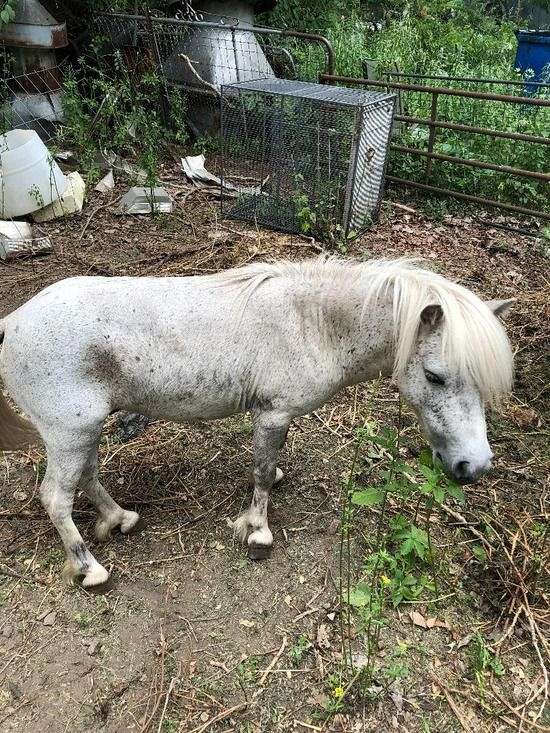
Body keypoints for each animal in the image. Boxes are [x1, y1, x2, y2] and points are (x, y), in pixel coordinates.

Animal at [1, 258, 516, 584]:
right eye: (435, 376)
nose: (474, 466)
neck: (313, 324)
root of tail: (13, 322)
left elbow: (270, 468)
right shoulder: (273, 413)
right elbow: (262, 474)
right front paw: (258, 531)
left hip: (83, 431)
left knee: (87, 478)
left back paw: (119, 519)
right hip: (70, 432)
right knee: (56, 498)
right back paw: (90, 569)